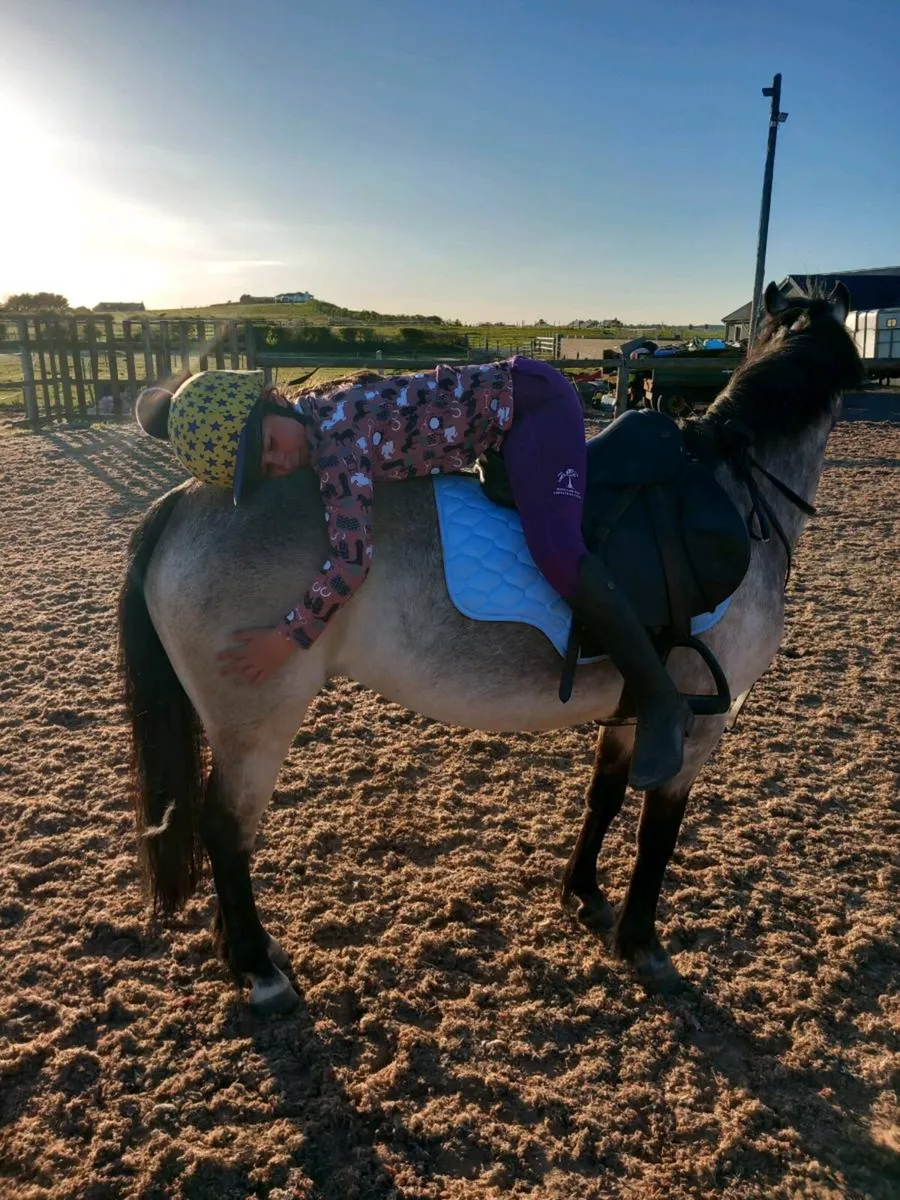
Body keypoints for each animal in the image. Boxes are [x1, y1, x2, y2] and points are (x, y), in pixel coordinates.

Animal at [118, 283, 863, 1015]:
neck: (737, 494)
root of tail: (183, 499)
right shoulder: (701, 724)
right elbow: (658, 833)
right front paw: (641, 944)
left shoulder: (638, 710)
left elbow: (605, 794)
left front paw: (584, 895)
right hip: (256, 723)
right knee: (224, 827)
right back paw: (259, 969)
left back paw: (249, 954)